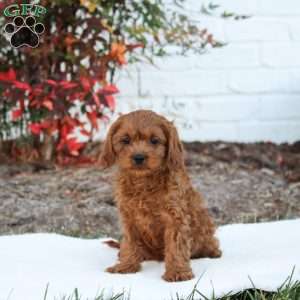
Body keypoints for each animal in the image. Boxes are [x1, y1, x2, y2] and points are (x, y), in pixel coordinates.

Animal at [99, 110, 221, 282]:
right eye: (126, 140)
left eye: (154, 140)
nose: (138, 157)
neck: (143, 181)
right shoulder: (129, 218)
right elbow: (130, 243)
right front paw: (126, 266)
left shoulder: (175, 217)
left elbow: (176, 246)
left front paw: (178, 272)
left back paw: (212, 252)